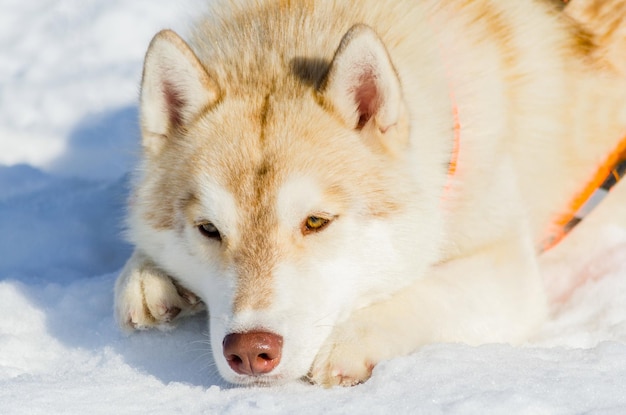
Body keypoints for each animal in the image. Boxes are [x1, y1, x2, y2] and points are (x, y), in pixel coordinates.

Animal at [113, 0, 624, 388]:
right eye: (208, 229)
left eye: (316, 222)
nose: (251, 351)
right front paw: (146, 275)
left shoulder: (508, 271)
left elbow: (429, 289)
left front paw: (351, 338)